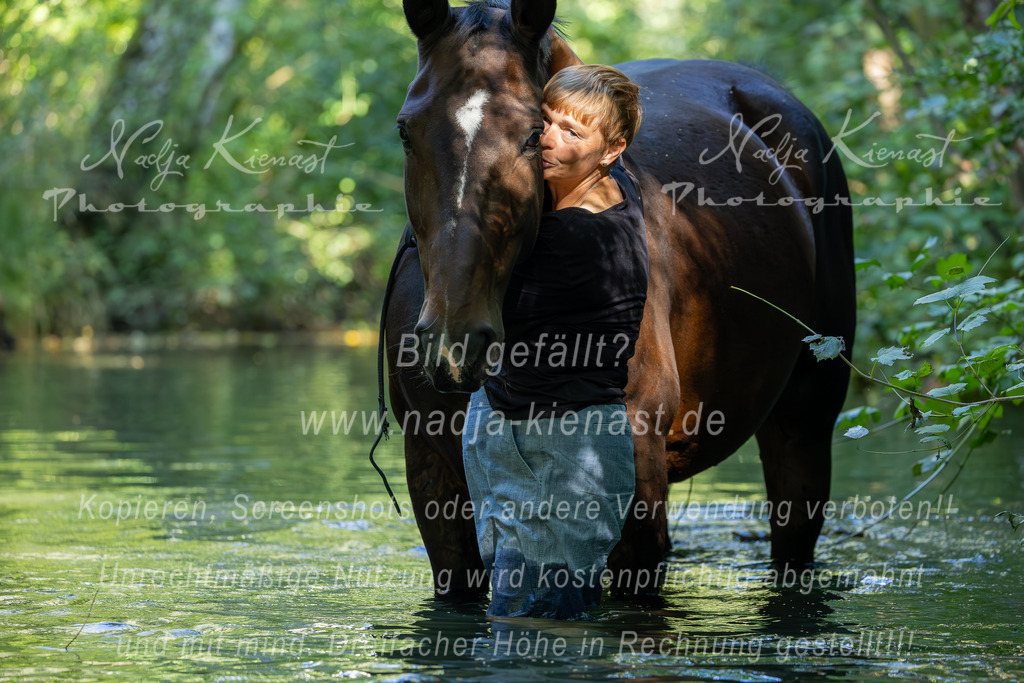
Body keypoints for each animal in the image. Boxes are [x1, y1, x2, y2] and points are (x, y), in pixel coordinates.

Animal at [380, 0, 855, 598]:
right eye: (405, 131)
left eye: (534, 134)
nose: (453, 344)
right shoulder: (435, 478)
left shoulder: (635, 485)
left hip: (805, 423)